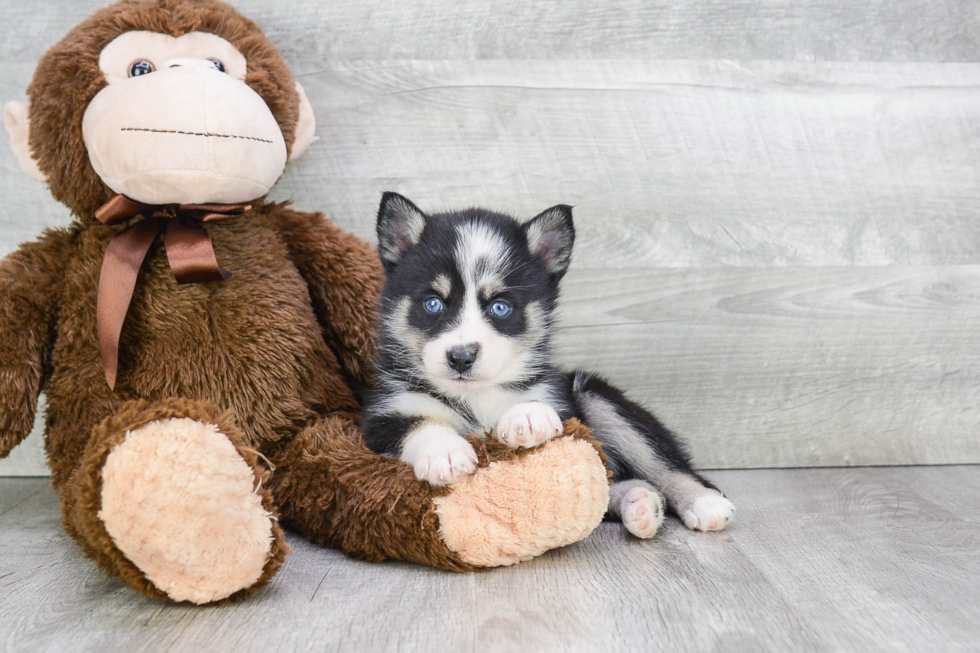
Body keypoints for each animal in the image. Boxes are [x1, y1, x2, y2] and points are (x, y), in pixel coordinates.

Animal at [366, 192, 736, 536]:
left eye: (500, 307)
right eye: (433, 303)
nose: (461, 357)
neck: (477, 397)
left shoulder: (559, 398)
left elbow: (539, 405)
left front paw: (528, 416)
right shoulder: (382, 416)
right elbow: (418, 424)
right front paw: (444, 452)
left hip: (598, 397)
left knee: (665, 466)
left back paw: (703, 502)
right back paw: (640, 504)